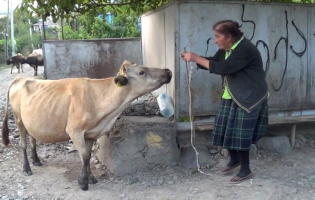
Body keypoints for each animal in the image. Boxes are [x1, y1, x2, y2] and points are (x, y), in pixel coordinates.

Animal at [1, 60, 173, 191]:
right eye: (142, 72)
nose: (168, 71)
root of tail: (20, 78)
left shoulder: (91, 133)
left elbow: (88, 155)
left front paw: (91, 178)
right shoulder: (74, 131)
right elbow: (83, 156)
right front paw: (83, 182)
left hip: (31, 123)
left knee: (33, 139)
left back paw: (36, 160)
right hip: (18, 119)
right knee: (23, 144)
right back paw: (27, 168)